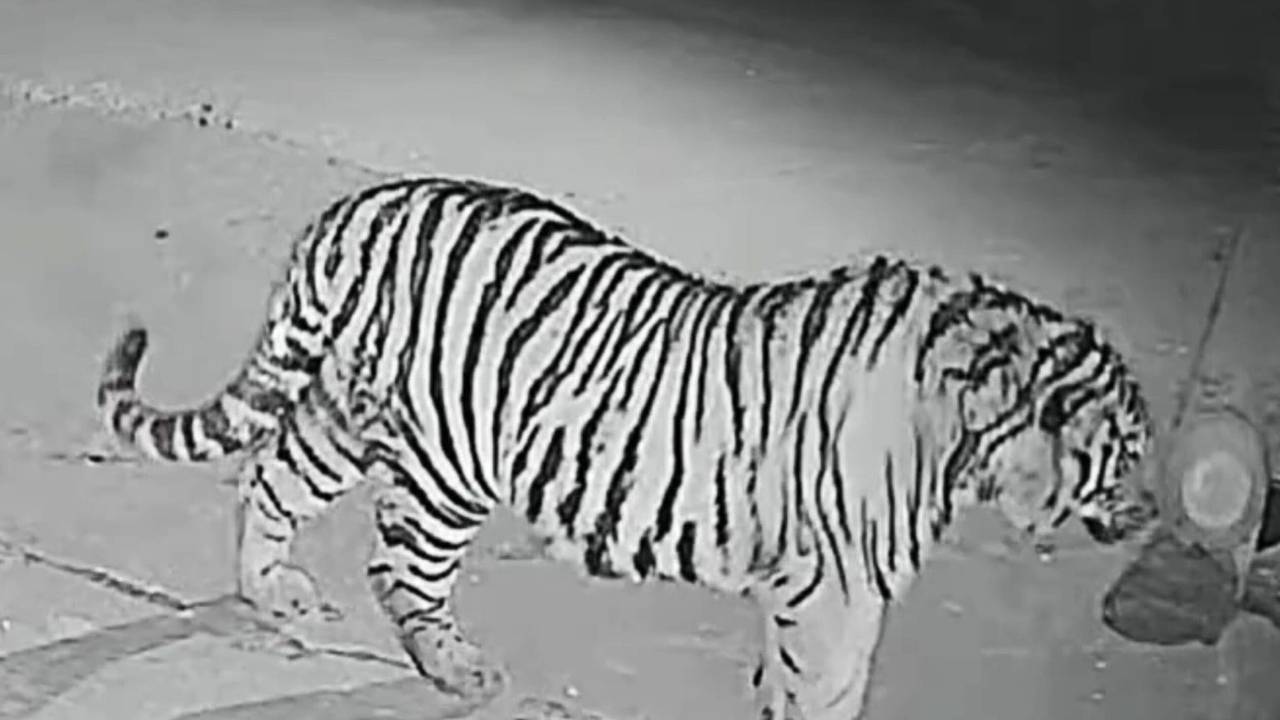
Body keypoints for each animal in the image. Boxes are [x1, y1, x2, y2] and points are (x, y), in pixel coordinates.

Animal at [96, 175, 1157, 720]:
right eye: (1130, 452)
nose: (1154, 512)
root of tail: (368, 205)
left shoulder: (827, 595)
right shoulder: (837, 591)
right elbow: (827, 691)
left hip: (346, 412)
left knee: (270, 477)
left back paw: (272, 594)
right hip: (451, 463)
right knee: (398, 568)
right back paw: (459, 671)